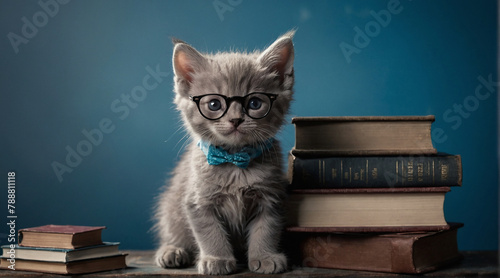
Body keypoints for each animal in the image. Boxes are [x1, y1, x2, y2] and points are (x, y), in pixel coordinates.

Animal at [154, 31, 294, 276]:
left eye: (255, 103)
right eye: (213, 104)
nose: (236, 120)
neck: (234, 162)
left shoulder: (271, 197)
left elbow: (266, 230)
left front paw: (265, 256)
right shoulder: (198, 202)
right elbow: (210, 232)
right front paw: (216, 259)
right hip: (171, 205)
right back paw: (172, 250)